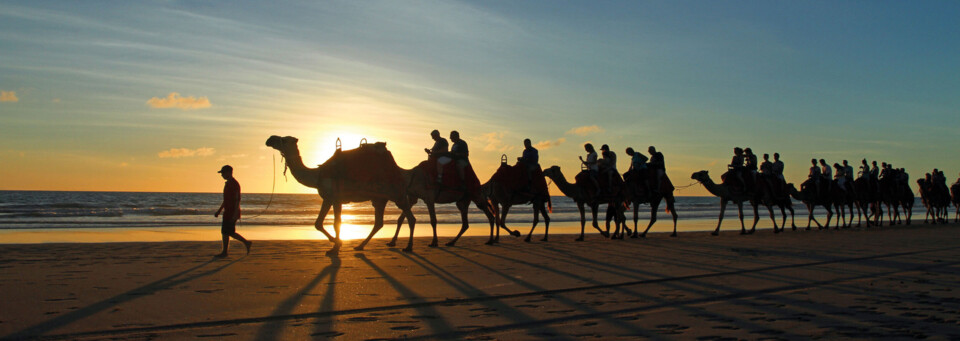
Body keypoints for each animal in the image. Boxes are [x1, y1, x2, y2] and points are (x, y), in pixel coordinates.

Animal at [264, 135, 414, 252]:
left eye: (284, 139)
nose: (270, 139)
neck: (317, 175)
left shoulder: (335, 198)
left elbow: (336, 223)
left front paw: (336, 246)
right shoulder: (328, 198)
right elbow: (319, 223)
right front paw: (336, 243)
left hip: (397, 194)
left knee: (410, 218)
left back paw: (408, 247)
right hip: (379, 198)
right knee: (379, 223)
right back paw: (360, 246)